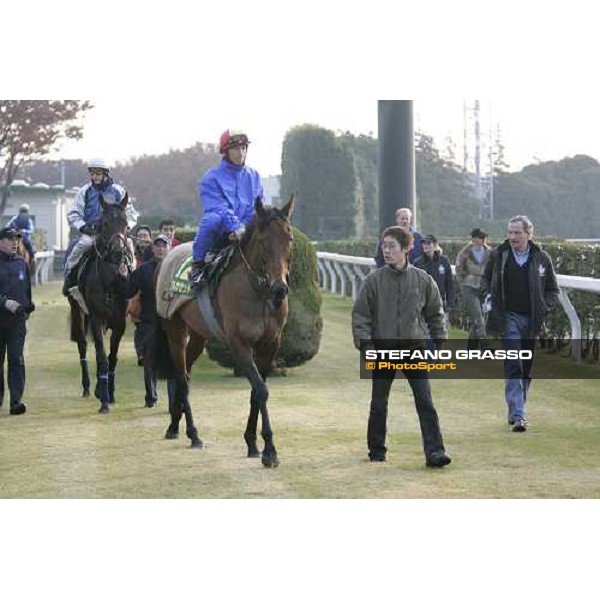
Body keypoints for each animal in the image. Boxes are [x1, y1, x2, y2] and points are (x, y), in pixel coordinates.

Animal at [69, 195, 132, 414]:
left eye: (125, 223)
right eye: (104, 224)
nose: (118, 253)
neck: (111, 281)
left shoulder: (119, 322)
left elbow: (111, 357)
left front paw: (110, 394)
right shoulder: (97, 318)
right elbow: (102, 357)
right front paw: (104, 401)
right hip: (78, 311)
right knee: (82, 346)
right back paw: (88, 387)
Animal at [155, 195, 296, 466]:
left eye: (290, 238)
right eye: (263, 240)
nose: (280, 289)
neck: (257, 292)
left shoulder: (270, 344)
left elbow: (256, 391)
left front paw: (252, 443)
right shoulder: (239, 344)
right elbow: (261, 390)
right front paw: (270, 450)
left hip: (198, 335)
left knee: (186, 371)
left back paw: (174, 425)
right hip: (174, 328)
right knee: (182, 377)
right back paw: (193, 434)